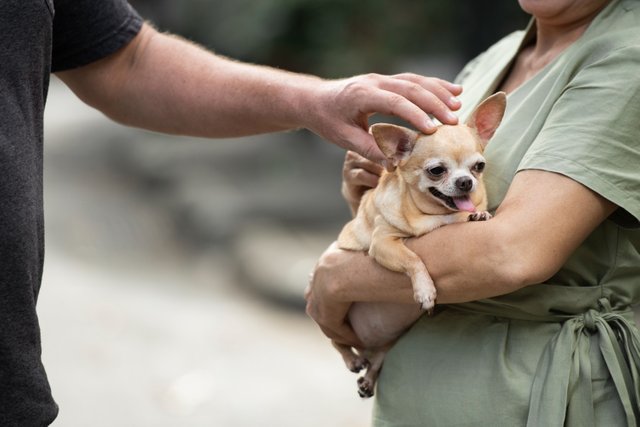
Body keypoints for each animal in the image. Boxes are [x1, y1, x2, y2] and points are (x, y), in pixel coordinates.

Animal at [332, 92, 508, 400]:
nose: (466, 181)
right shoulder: (383, 243)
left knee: (377, 357)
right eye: (436, 171)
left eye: (479, 166)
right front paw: (425, 291)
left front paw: (478, 215)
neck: (437, 215)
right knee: (337, 342)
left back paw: (369, 380)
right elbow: (413, 258)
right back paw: (352, 359)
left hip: (387, 342)